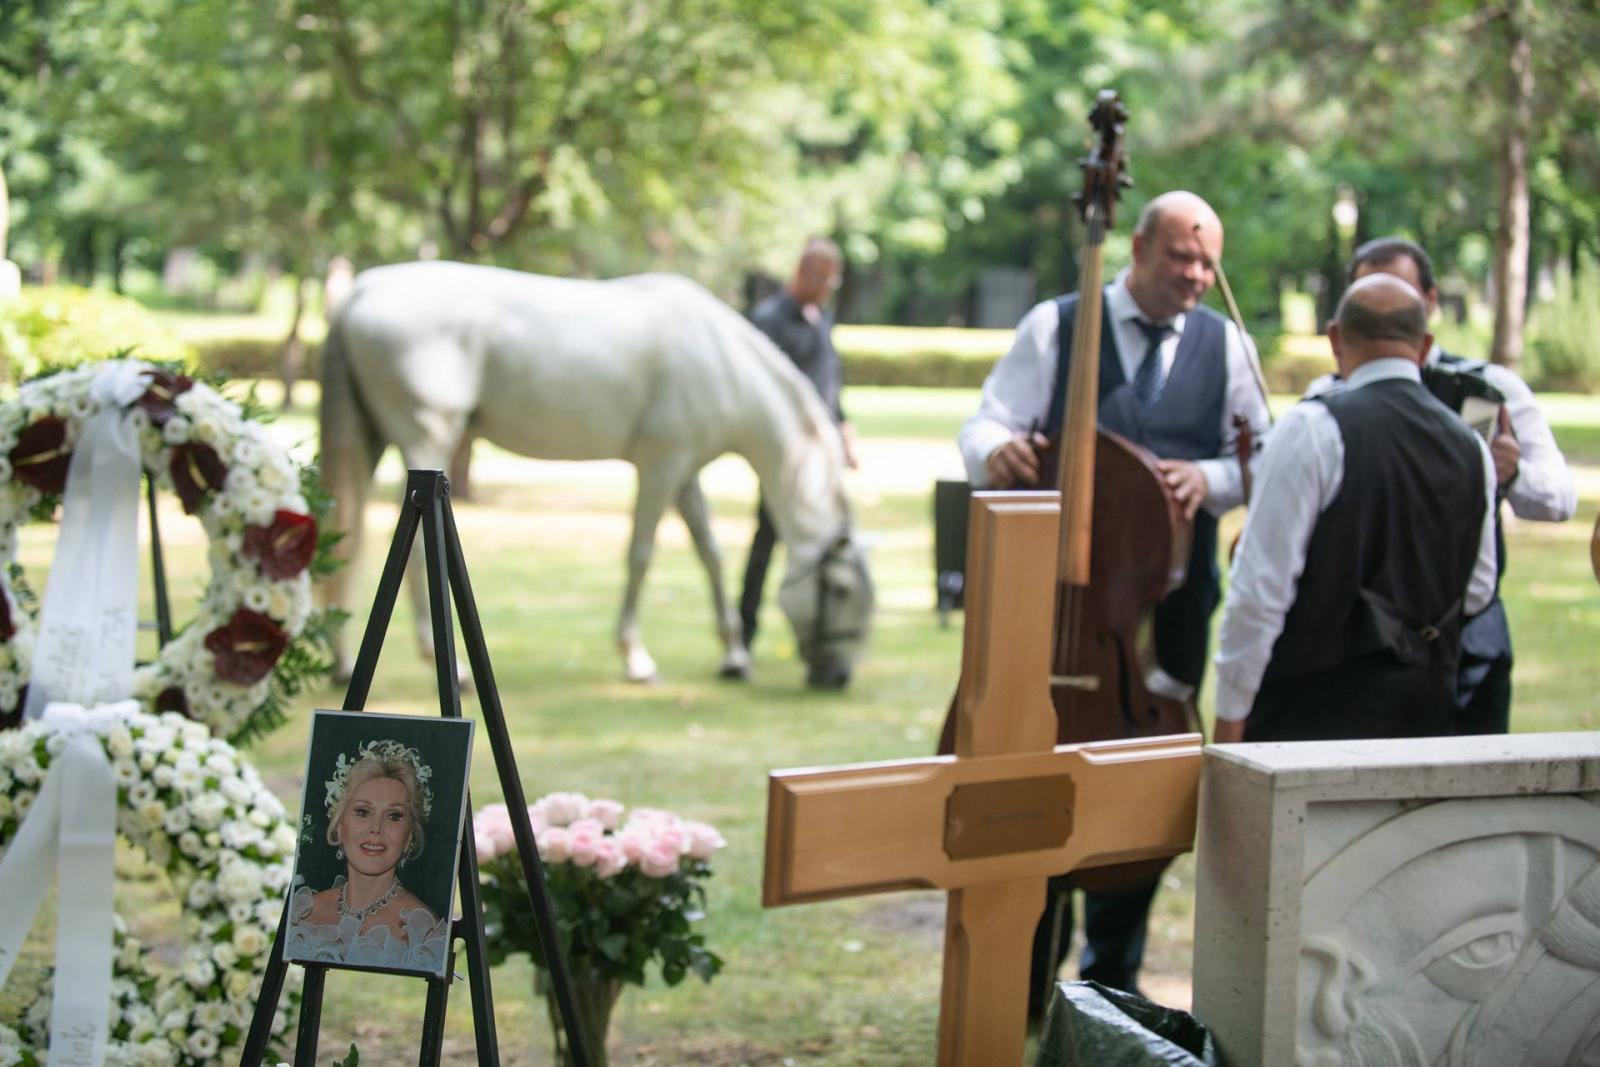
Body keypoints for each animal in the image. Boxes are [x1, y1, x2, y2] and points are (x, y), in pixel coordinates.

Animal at [320, 262, 876, 687]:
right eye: (840, 590)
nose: (837, 677)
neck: (721, 360)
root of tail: (360, 290)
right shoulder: (660, 466)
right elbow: (641, 555)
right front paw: (636, 658)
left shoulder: (685, 473)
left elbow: (711, 555)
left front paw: (734, 655)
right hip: (427, 442)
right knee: (411, 547)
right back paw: (446, 668)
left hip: (372, 439)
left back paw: (344, 662)